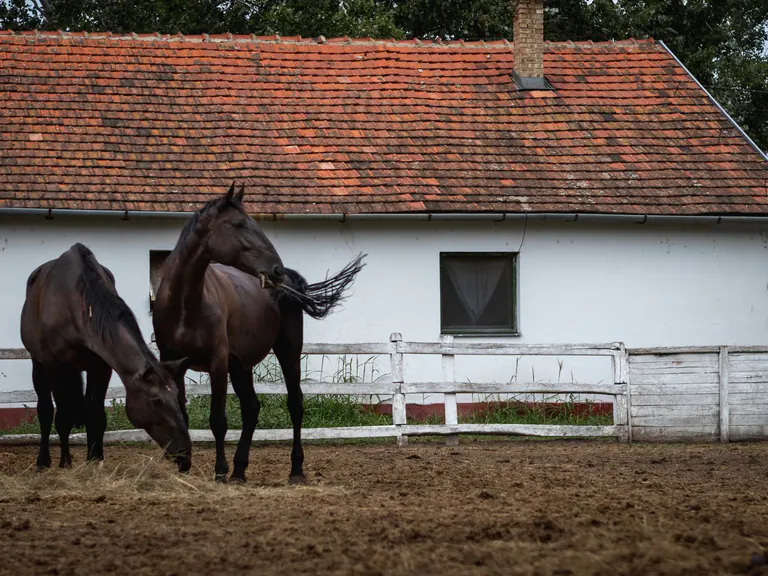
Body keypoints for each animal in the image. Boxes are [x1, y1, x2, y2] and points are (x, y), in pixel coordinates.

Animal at [20, 243, 193, 471]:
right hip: (40, 365)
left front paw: (95, 458)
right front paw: (65, 462)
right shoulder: (56, 367)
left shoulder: (101, 368)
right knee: (46, 410)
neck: (76, 305)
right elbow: (61, 416)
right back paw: (44, 460)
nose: (185, 455)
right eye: (155, 400)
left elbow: (96, 414)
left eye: (177, 396)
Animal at [152, 183, 365, 483]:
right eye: (238, 224)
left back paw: (295, 470)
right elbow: (181, 414)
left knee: (295, 405)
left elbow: (218, 420)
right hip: (241, 365)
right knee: (251, 409)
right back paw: (239, 470)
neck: (186, 304)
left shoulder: (217, 363)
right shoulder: (173, 361)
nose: (275, 269)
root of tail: (290, 283)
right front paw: (184, 466)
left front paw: (219, 471)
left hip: (288, 353)